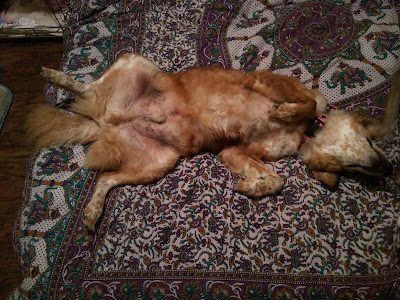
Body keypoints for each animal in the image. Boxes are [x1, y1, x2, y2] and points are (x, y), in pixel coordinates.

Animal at [26, 53, 398, 230]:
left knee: (105, 178)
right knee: (89, 87)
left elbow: (276, 180)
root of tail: (102, 123)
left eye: (354, 170)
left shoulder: (235, 151)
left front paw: (250, 186)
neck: (307, 132)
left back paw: (91, 213)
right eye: (371, 142)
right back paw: (57, 77)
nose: (388, 167)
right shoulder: (266, 82)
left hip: (159, 162)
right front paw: (281, 108)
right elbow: (300, 102)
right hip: (134, 63)